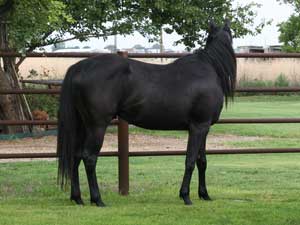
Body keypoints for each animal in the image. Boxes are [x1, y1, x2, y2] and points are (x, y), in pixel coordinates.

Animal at [56, 20, 237, 207]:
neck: (209, 69)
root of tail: (79, 67)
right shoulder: (198, 127)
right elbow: (190, 161)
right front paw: (185, 196)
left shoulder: (204, 128)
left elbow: (202, 161)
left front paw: (204, 194)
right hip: (97, 126)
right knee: (89, 158)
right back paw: (97, 199)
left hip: (83, 125)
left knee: (76, 156)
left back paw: (77, 198)